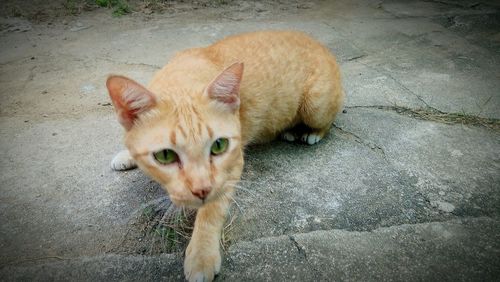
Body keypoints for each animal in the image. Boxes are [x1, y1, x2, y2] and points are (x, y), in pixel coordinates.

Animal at [106, 29, 344, 280]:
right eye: (165, 156)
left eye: (219, 146)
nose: (202, 189)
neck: (183, 76)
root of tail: (318, 43)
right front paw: (127, 155)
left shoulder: (232, 166)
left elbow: (211, 211)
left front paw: (202, 254)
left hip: (315, 106)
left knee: (328, 120)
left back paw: (308, 132)